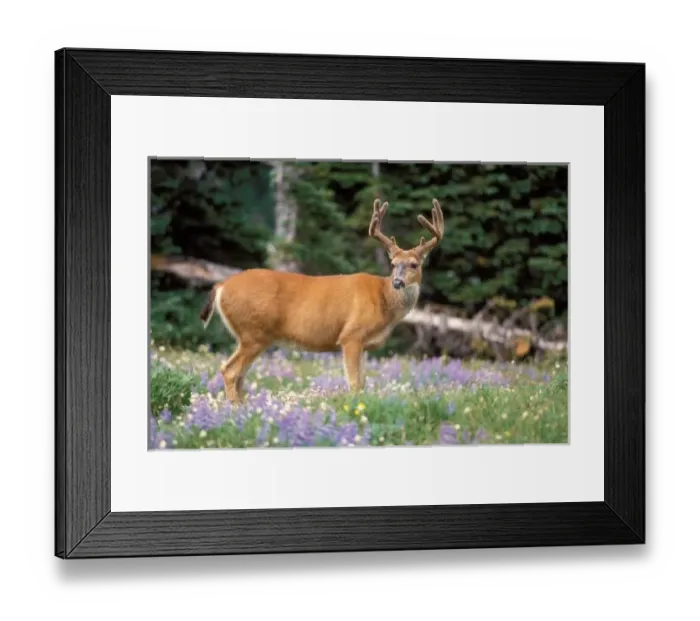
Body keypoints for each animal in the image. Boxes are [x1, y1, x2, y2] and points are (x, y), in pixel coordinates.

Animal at [199, 198, 445, 404]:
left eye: (414, 264)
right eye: (393, 264)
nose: (397, 282)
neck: (384, 301)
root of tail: (221, 286)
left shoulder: (364, 344)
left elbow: (363, 382)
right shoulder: (351, 335)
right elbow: (354, 383)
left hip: (251, 336)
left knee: (240, 374)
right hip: (253, 332)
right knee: (230, 371)